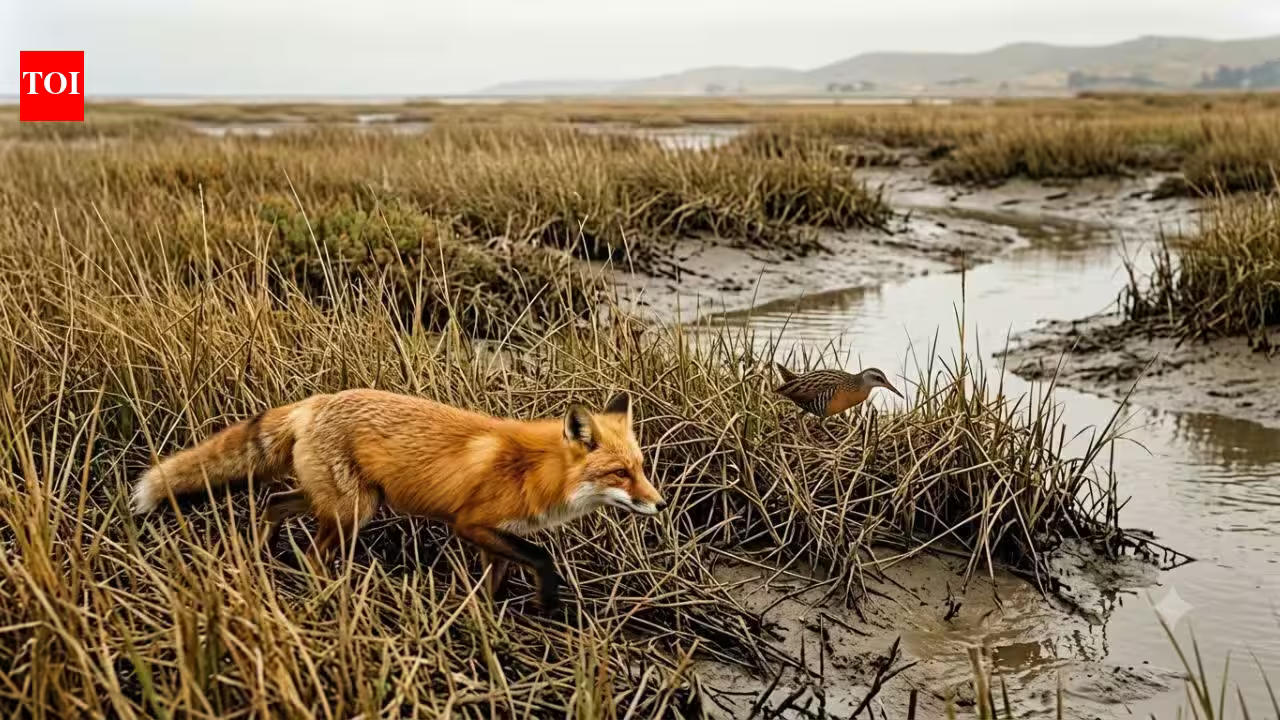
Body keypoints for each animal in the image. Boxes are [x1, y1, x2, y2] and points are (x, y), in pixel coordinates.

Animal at [129, 387, 667, 612]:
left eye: (642, 468)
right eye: (620, 473)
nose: (660, 504)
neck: (535, 470)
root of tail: (315, 402)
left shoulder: (495, 538)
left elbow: (496, 582)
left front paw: (487, 620)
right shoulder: (471, 524)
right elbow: (542, 557)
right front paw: (548, 600)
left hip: (339, 501)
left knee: (274, 503)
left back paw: (261, 556)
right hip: (354, 511)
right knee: (313, 553)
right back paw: (323, 594)